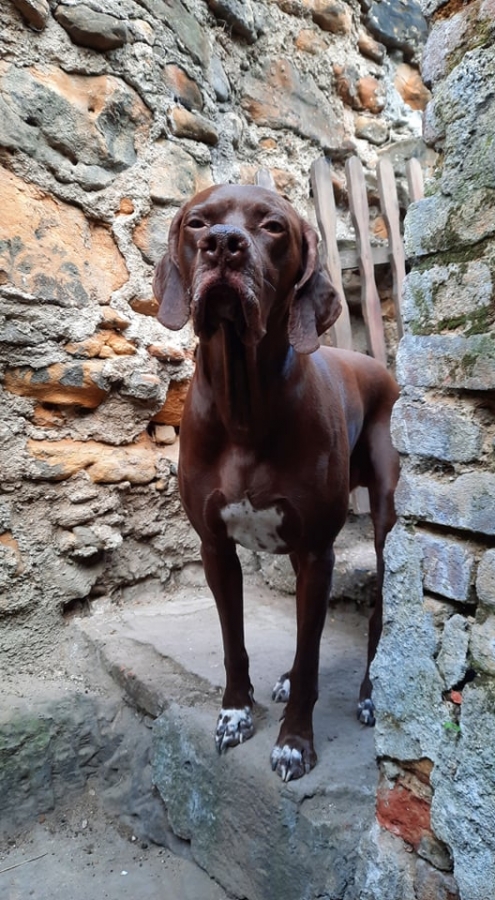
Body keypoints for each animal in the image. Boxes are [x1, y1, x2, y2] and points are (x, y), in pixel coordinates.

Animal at [153, 183, 399, 782]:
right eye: (197, 223)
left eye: (272, 227)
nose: (223, 245)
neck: (245, 407)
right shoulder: (216, 549)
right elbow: (234, 641)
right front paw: (235, 712)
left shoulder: (315, 552)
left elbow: (312, 657)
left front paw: (294, 741)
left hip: (385, 521)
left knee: (379, 611)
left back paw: (369, 693)